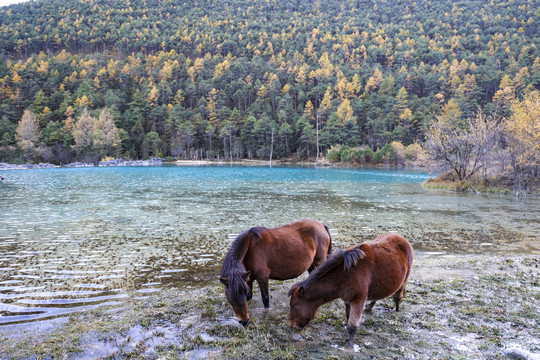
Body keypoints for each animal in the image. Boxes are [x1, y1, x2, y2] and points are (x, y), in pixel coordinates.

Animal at [288, 233, 416, 346]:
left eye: (293, 305)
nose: (292, 325)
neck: (344, 275)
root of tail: (403, 239)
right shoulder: (347, 300)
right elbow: (348, 317)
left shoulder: (357, 301)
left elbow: (352, 327)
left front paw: (350, 346)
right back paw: (370, 307)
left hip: (403, 282)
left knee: (397, 297)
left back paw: (397, 310)